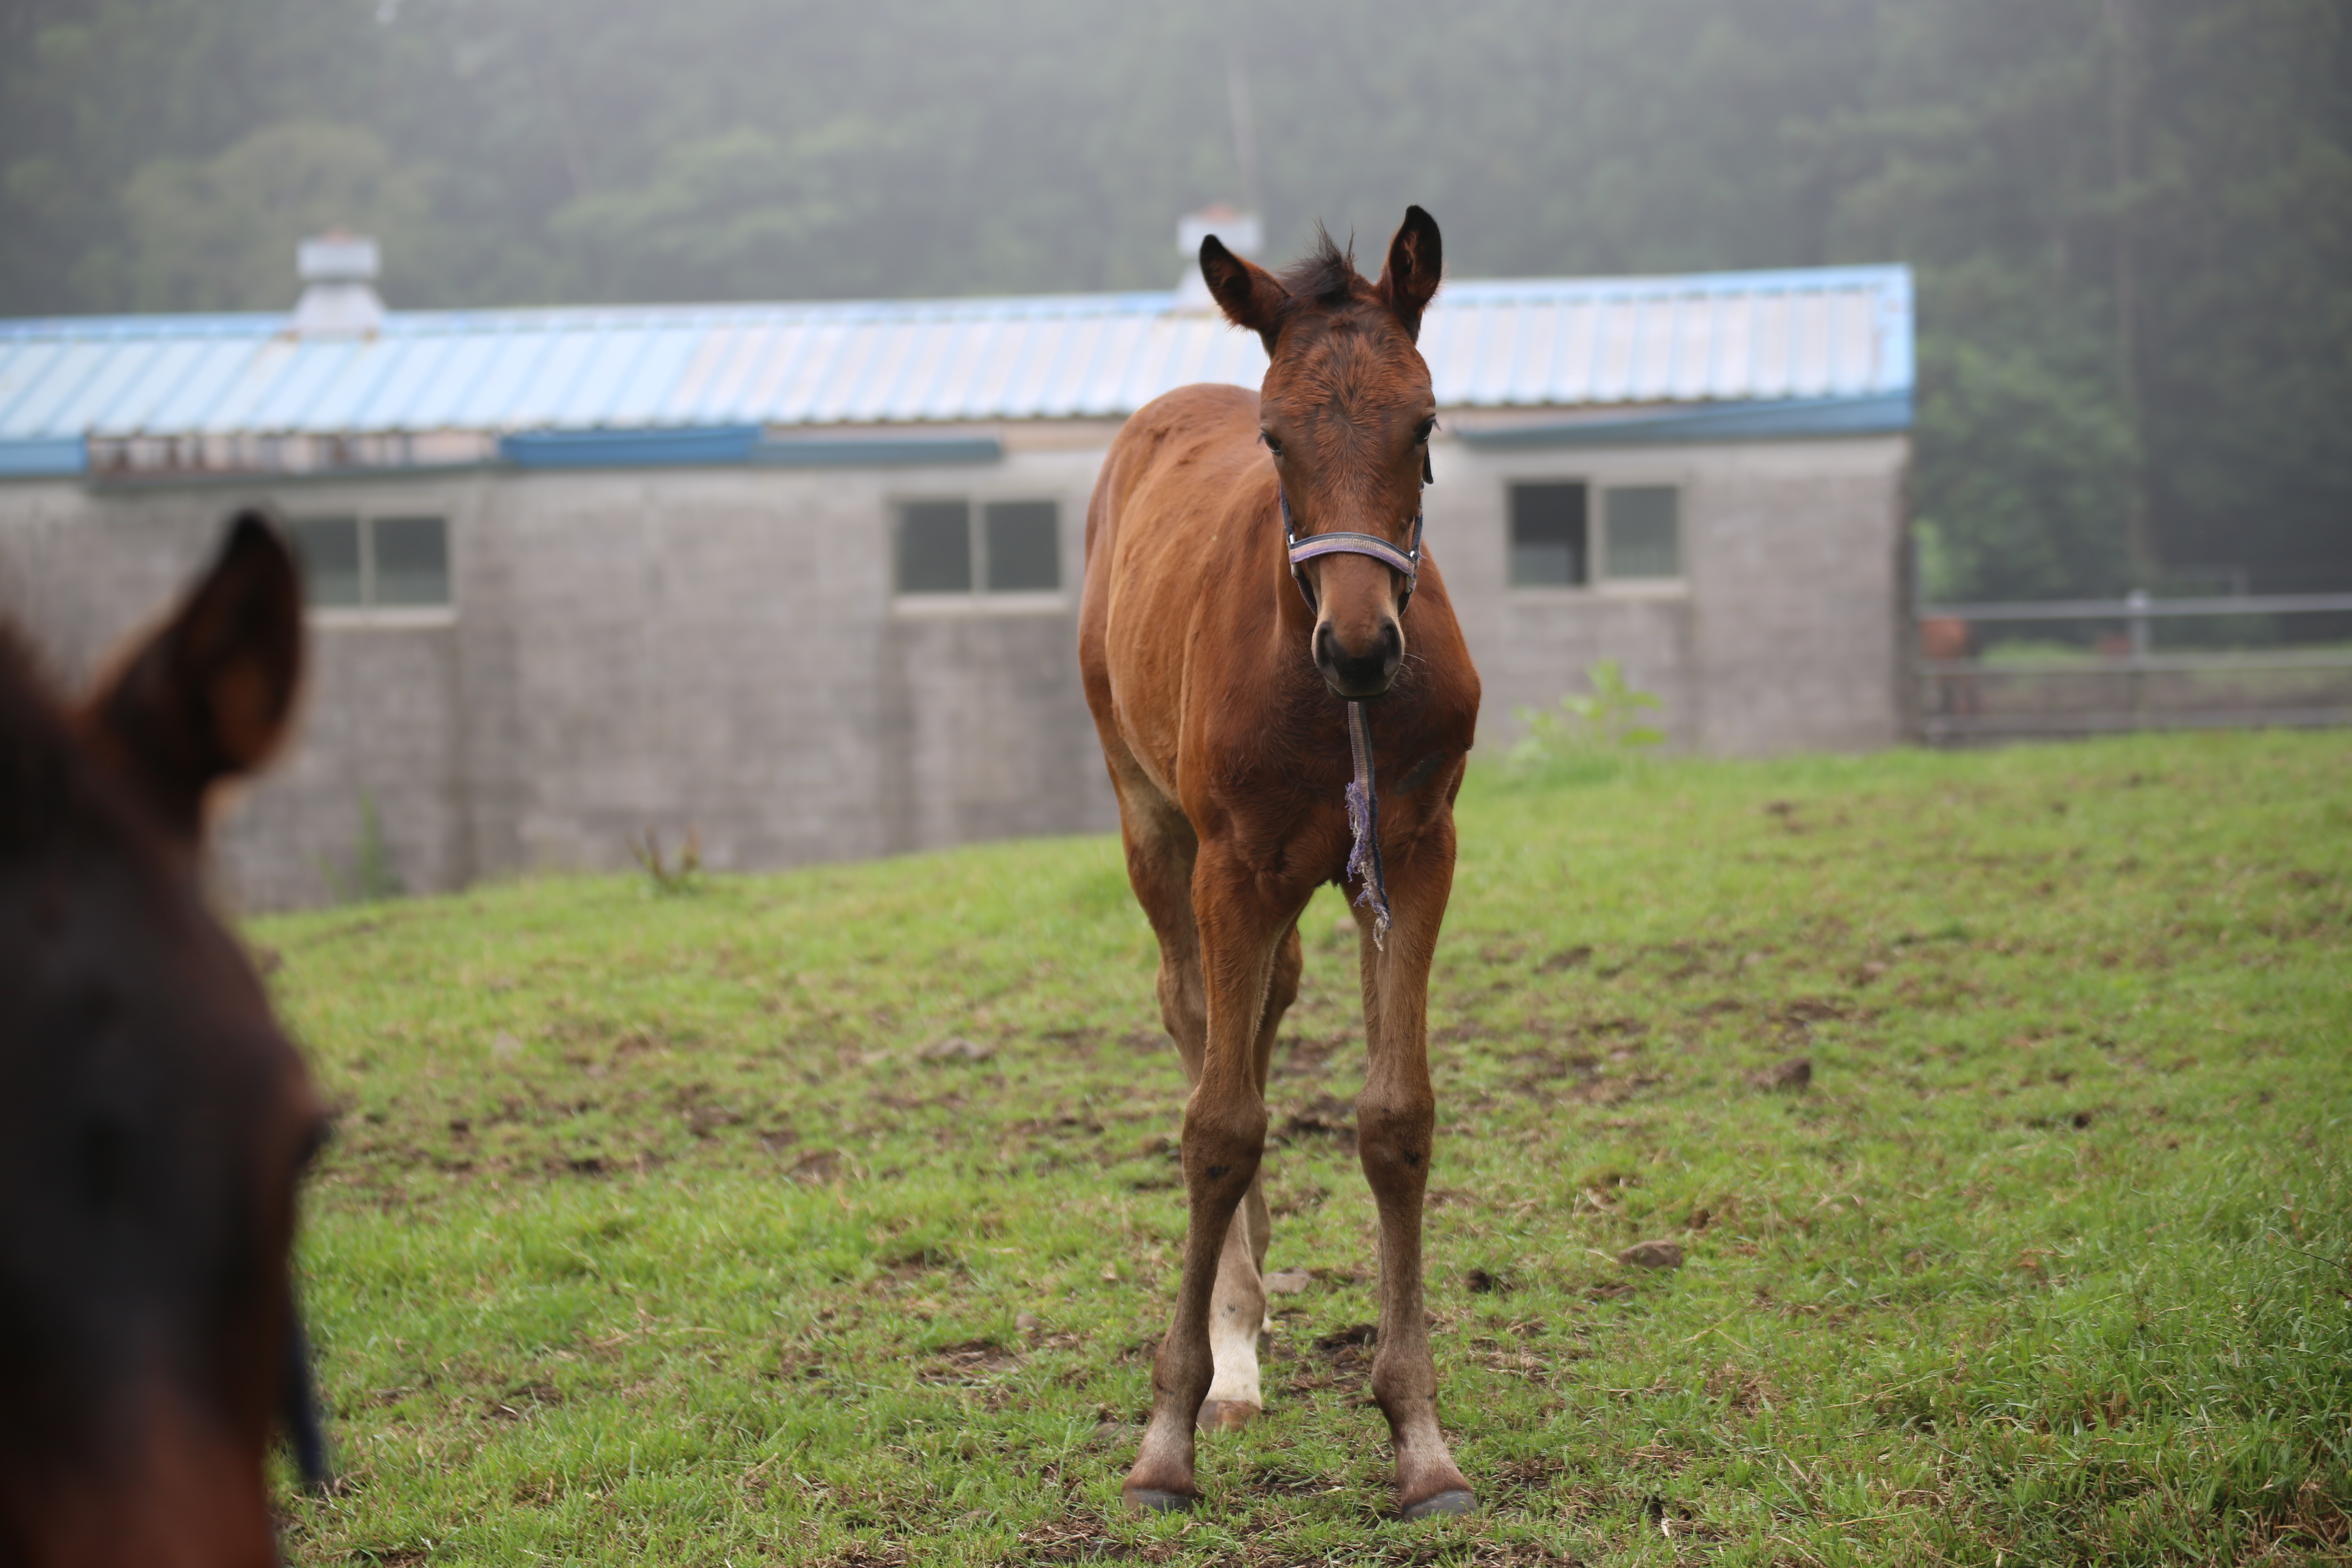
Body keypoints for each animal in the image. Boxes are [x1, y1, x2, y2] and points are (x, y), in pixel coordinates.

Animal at [1077, 208, 1477, 1523]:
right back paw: (1234, 1349)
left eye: (1425, 422)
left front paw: (1420, 1441)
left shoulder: (1414, 849)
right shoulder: (1229, 865)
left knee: (1260, 1016)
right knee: (1192, 1016)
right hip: (1156, 828)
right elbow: (1216, 1127)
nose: (1359, 649)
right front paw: (1164, 1439)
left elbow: (1394, 1117)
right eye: (1273, 437)